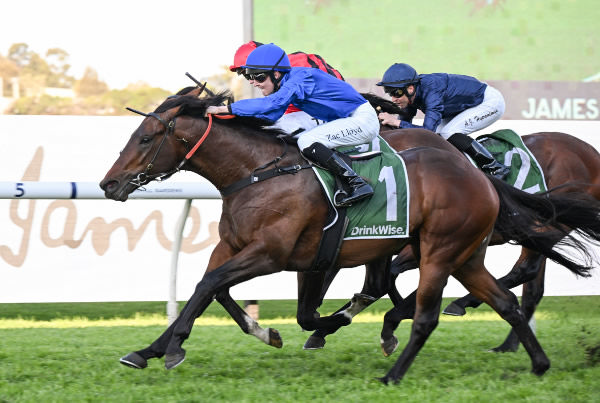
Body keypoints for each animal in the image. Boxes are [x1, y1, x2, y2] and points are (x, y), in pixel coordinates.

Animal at [99, 90, 600, 384]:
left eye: (145, 138)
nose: (108, 184)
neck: (259, 173)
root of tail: (480, 179)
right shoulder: (249, 250)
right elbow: (213, 290)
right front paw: (152, 348)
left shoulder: (272, 254)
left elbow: (212, 286)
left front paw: (171, 349)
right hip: (465, 253)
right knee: (510, 298)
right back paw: (534, 360)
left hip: (444, 250)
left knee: (455, 303)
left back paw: (400, 362)